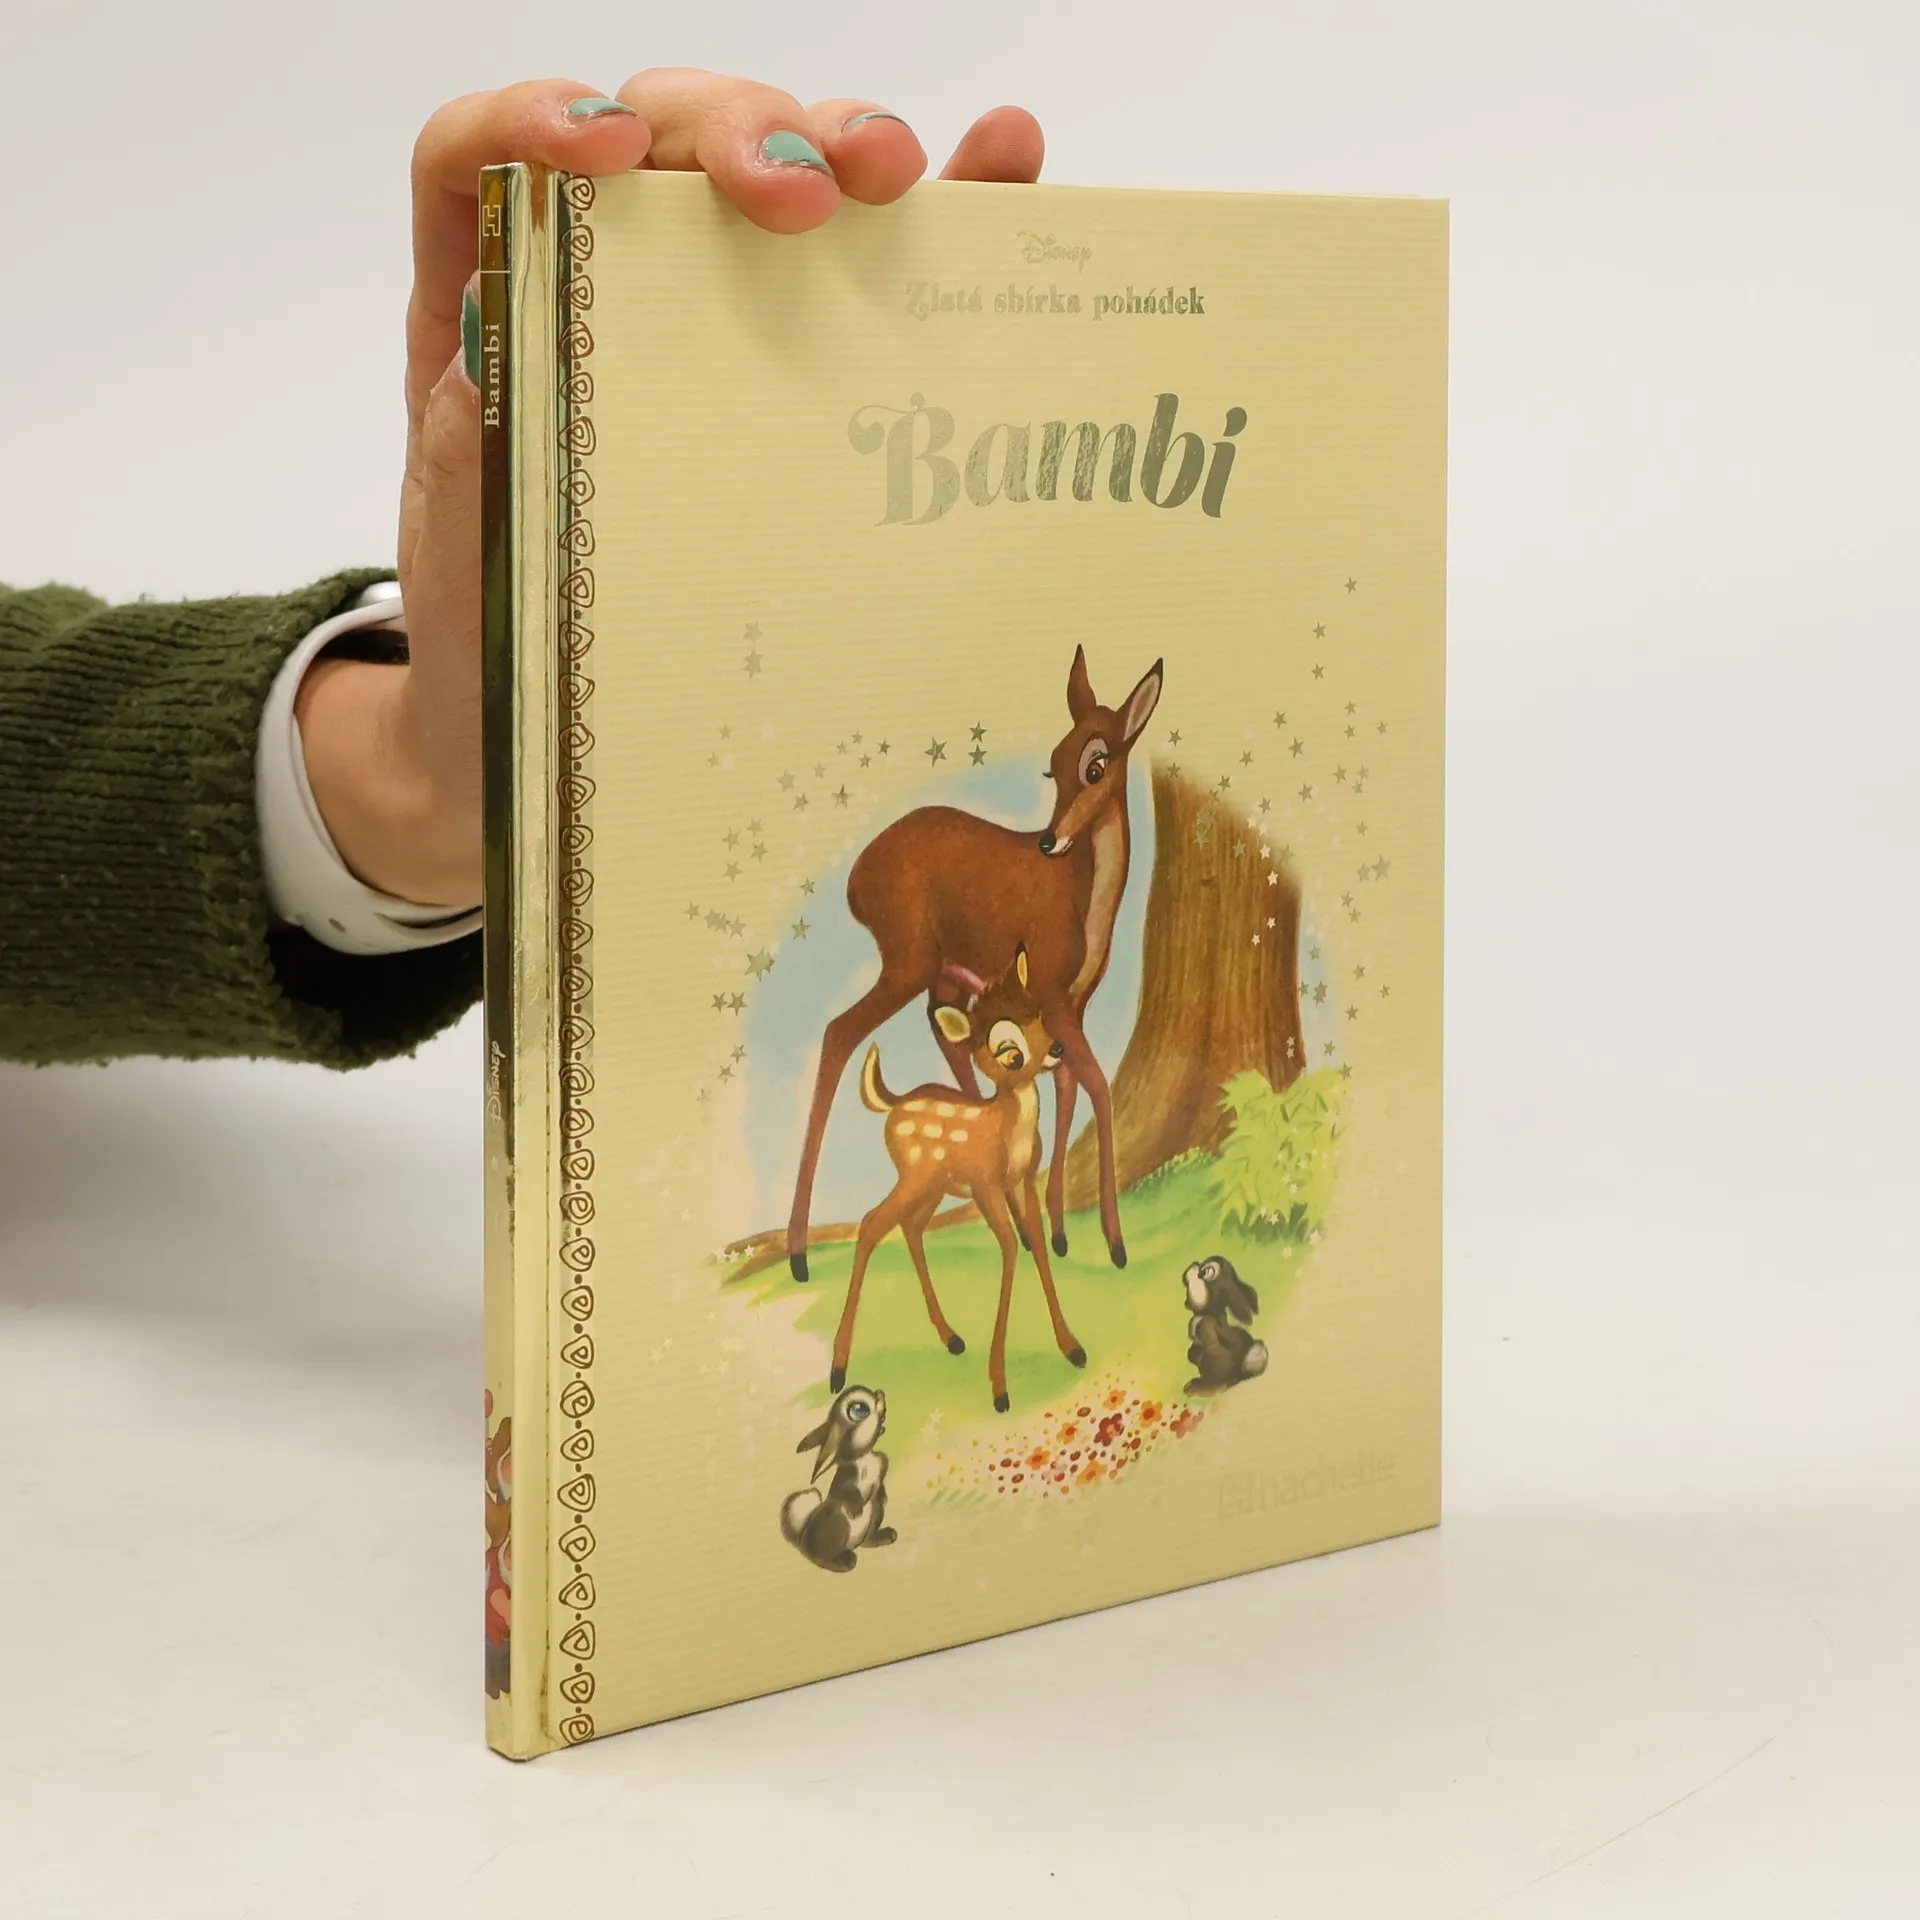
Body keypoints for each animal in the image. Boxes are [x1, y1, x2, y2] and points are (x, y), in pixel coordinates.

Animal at [787, 646, 1163, 1285]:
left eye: (1095, 764)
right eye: (1052, 766)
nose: (1049, 841)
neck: (1085, 897)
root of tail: (854, 883)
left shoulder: (1070, 1004)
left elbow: (1067, 1085)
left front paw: (1059, 1231)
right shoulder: (1054, 995)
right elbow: (1096, 1085)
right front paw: (1114, 1244)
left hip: (943, 975)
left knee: (946, 1035)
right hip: (908, 963)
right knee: (841, 1031)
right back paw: (797, 1254)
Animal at [833, 947, 1085, 1412]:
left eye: (1039, 1015)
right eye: (1008, 1051)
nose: (1058, 1048)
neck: (1007, 1131)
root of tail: (893, 1104)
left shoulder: (1021, 1181)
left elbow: (1038, 1246)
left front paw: (1073, 1348)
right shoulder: (987, 1186)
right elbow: (1010, 1248)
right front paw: (1000, 1389)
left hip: (935, 1186)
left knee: (909, 1226)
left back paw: (951, 1338)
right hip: (915, 1176)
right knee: (872, 1223)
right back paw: (838, 1368)